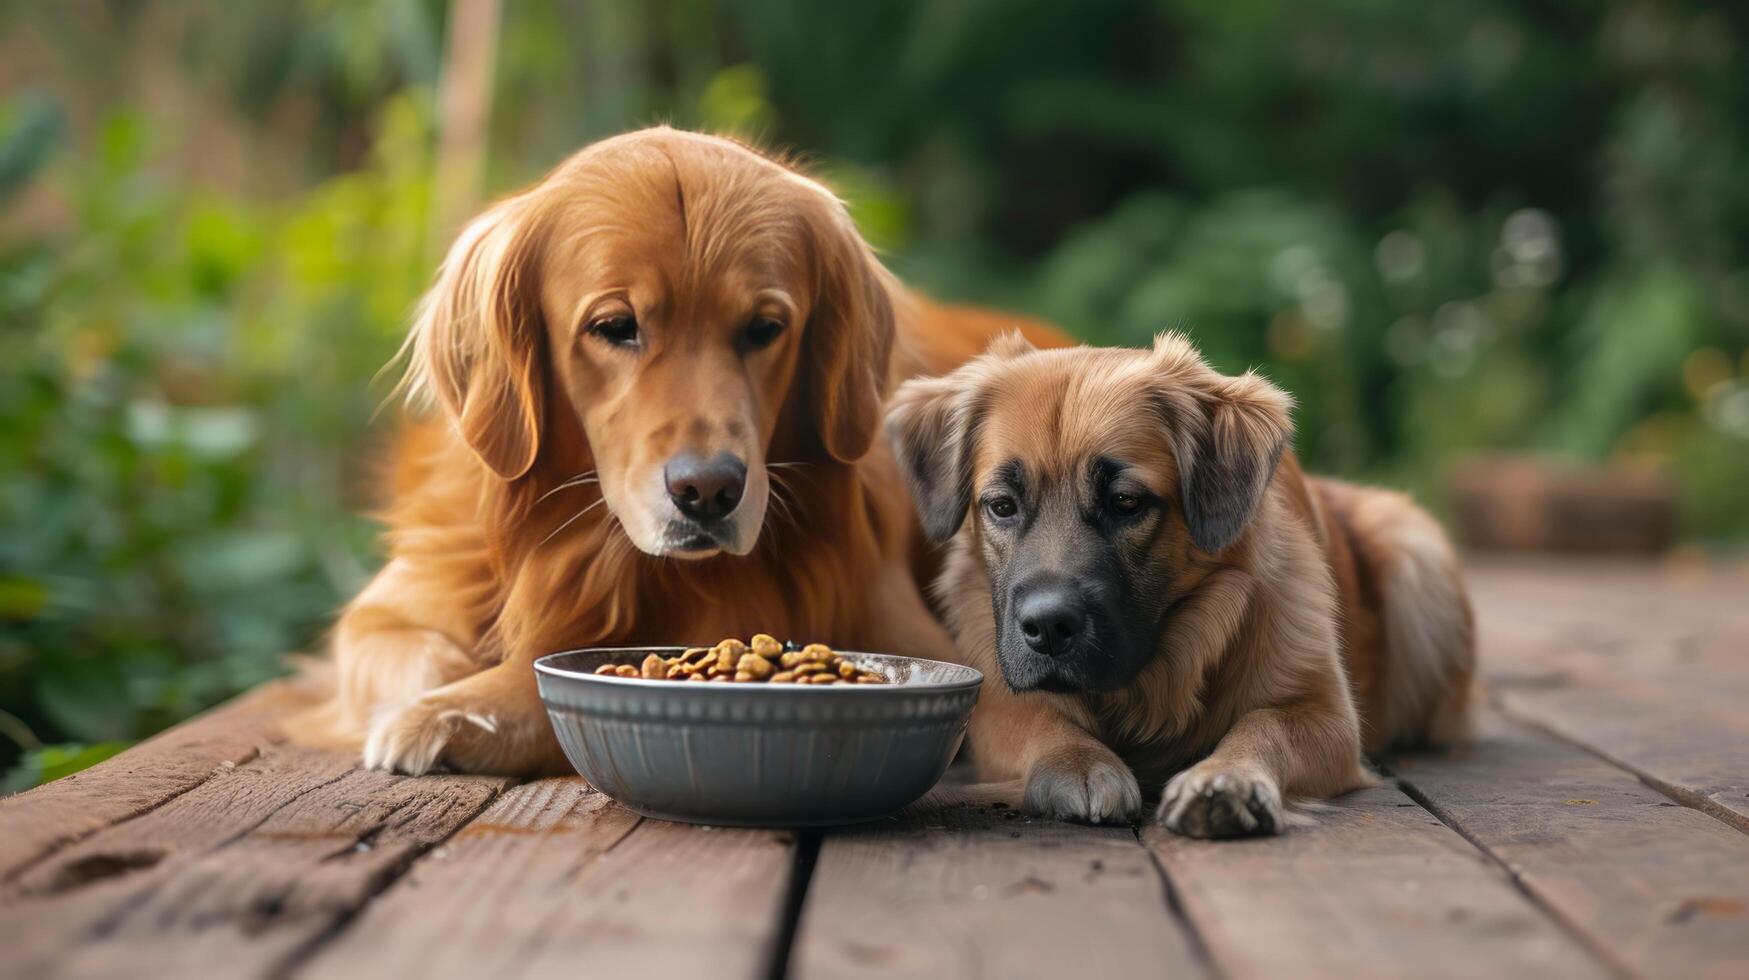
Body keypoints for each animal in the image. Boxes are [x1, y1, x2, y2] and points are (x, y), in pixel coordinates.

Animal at [295, 128, 1063, 773]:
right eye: (615, 326)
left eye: (764, 328)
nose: (708, 491)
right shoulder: (391, 608)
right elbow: (419, 655)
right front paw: (447, 702)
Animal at [888, 330, 1476, 833]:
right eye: (1002, 506)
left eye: (1126, 502)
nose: (1048, 628)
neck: (1151, 682)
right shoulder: (997, 704)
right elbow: (1037, 722)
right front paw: (1079, 762)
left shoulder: (1324, 714)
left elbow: (1262, 727)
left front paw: (1226, 778)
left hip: (1415, 551)